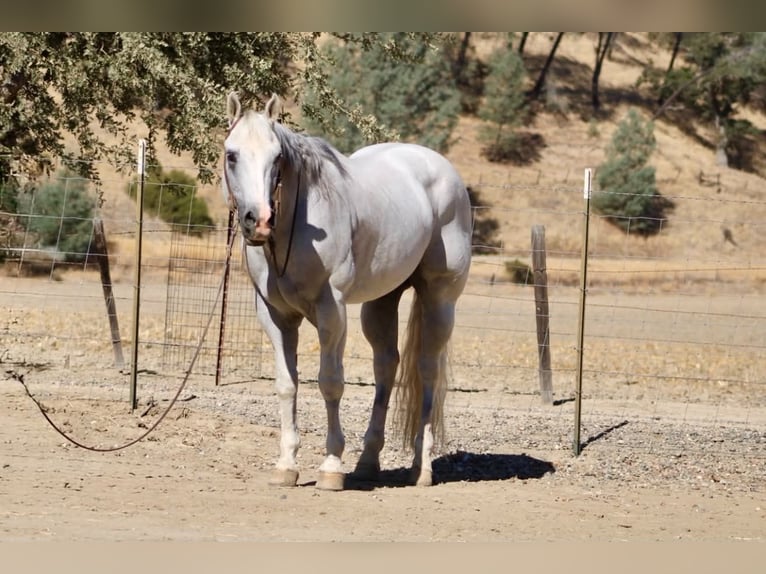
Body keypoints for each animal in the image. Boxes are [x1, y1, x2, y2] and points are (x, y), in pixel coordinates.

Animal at [222, 92, 472, 490]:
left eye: (277, 158)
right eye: (232, 154)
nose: (258, 221)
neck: (298, 222)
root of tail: (443, 170)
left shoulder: (332, 311)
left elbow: (330, 383)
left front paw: (330, 466)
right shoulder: (275, 316)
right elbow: (287, 385)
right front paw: (286, 465)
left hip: (439, 300)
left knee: (427, 371)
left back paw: (422, 468)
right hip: (382, 301)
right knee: (386, 367)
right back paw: (368, 462)